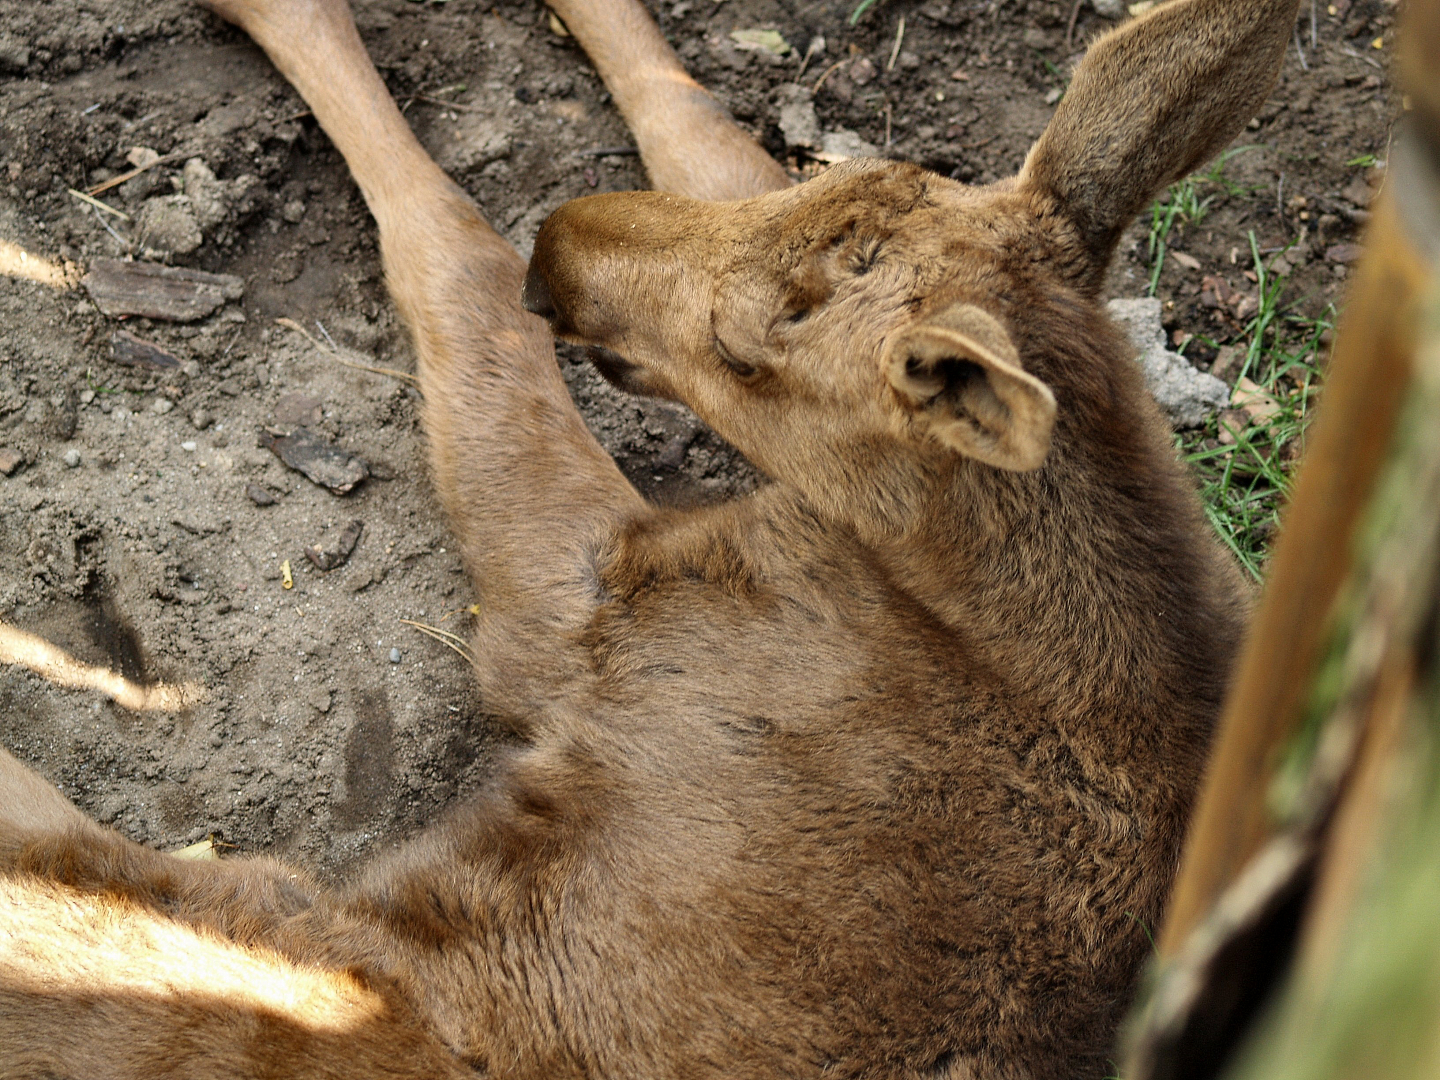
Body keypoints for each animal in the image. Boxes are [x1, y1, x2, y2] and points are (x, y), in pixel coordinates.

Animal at [0, 0, 1297, 1075]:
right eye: (838, 177)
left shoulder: (592, 607)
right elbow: (699, 122)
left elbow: (458, 261)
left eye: (742, 350)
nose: (561, 247)